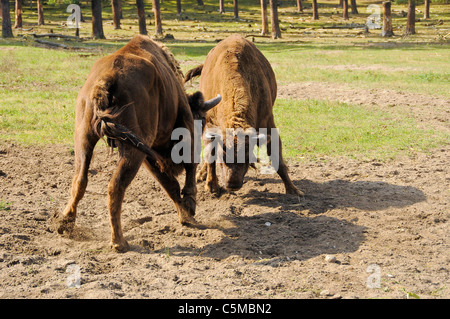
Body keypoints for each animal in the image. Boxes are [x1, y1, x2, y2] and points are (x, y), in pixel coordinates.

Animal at [56, 35, 221, 252]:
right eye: (200, 119)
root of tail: (106, 80)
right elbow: (184, 172)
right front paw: (190, 209)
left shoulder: (149, 155)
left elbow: (170, 184)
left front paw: (186, 216)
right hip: (132, 152)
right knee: (115, 186)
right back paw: (119, 241)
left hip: (85, 138)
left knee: (80, 180)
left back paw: (65, 224)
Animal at [185, 33, 304, 196]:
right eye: (223, 156)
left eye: (247, 155)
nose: (232, 184)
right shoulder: (210, 125)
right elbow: (211, 154)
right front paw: (212, 186)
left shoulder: (268, 125)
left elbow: (277, 159)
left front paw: (293, 190)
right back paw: (201, 175)